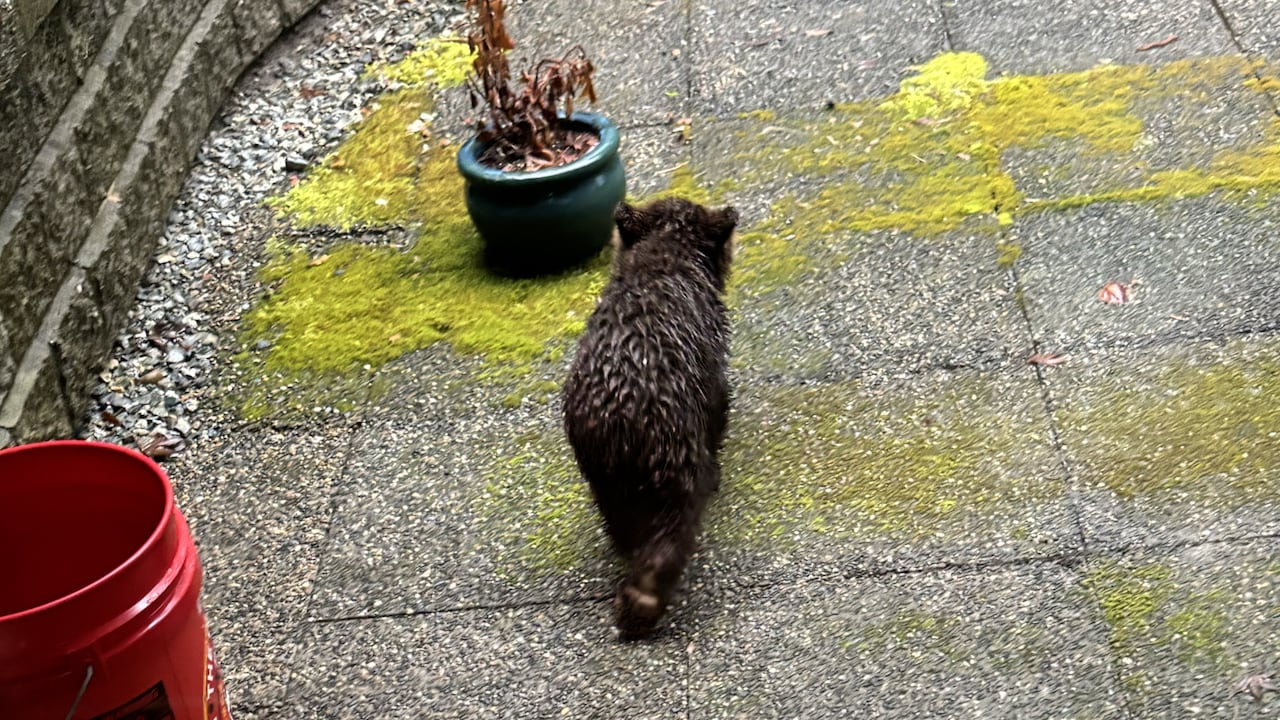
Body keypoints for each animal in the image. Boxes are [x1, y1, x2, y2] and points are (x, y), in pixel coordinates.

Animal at [562, 197, 739, 639]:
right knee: (667, 545)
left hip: (605, 483)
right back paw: (643, 608)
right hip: (678, 475)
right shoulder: (715, 382)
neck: (664, 257)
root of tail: (622, 413)